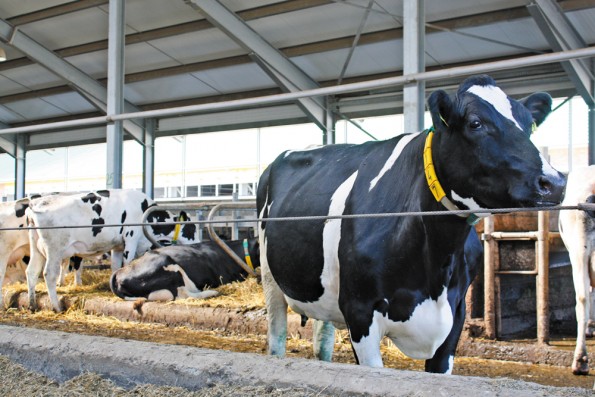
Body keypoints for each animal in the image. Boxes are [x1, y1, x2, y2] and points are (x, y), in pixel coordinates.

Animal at [25, 187, 198, 310]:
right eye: (192, 228)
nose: (197, 244)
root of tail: (35, 204)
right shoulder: (131, 237)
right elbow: (127, 263)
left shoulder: (118, 246)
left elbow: (115, 267)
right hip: (54, 249)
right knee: (49, 274)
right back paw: (56, 306)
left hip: (36, 249)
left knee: (31, 271)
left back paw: (32, 304)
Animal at [258, 73, 568, 372]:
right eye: (475, 123)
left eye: (529, 125)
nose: (554, 182)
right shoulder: (360, 311)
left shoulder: (456, 313)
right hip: (270, 278)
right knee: (276, 337)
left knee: (322, 340)